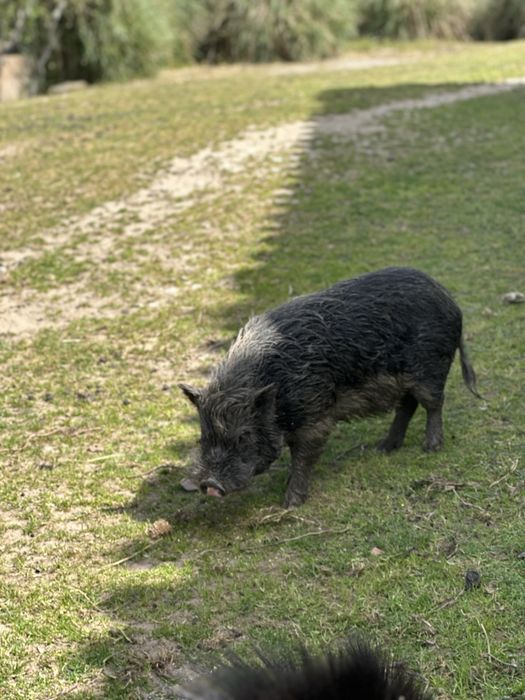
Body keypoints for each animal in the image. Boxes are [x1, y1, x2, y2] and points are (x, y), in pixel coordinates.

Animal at [180, 267, 479, 507]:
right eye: (203, 436)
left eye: (244, 436)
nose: (210, 485)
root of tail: (449, 300)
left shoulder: (315, 416)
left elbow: (304, 456)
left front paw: (290, 504)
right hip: (405, 380)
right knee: (407, 406)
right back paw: (383, 448)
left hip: (430, 369)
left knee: (433, 404)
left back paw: (430, 448)